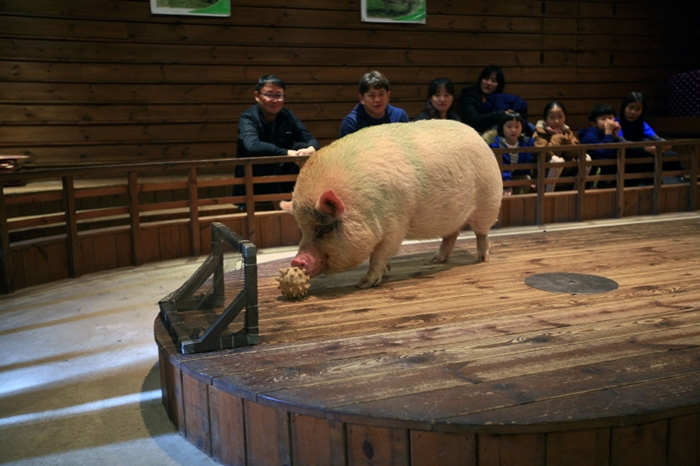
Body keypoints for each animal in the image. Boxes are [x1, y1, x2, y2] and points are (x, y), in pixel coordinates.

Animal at [278, 119, 504, 288]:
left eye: (325, 229)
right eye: (303, 230)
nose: (297, 260)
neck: (362, 206)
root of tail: (479, 137)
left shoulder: (395, 227)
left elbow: (379, 255)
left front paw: (364, 284)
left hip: (488, 200)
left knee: (481, 233)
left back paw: (482, 259)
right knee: (452, 234)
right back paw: (434, 260)